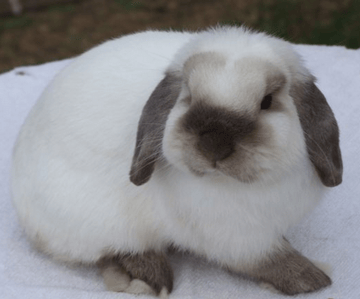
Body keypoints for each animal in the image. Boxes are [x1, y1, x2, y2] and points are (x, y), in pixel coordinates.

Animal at [11, 26, 344, 298]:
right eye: (188, 97)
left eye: (267, 101)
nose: (213, 144)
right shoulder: (239, 238)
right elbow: (267, 260)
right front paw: (309, 279)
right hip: (98, 224)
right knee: (109, 251)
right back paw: (148, 277)